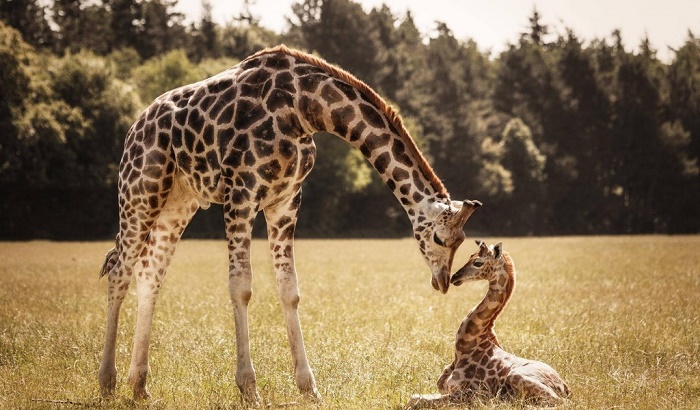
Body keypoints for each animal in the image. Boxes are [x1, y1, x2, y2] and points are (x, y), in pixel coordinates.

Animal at [98, 44, 482, 404]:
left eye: (462, 241)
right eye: (440, 238)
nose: (442, 281)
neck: (304, 107)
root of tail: (135, 127)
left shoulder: (286, 200)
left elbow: (289, 289)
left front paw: (309, 388)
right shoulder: (241, 193)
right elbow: (241, 286)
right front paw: (248, 389)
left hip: (178, 200)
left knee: (150, 273)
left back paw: (140, 386)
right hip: (140, 189)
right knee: (120, 271)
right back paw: (107, 382)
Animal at [410, 240, 568, 406]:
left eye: (478, 262)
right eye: (469, 256)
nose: (454, 277)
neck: (463, 348)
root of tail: (565, 387)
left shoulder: (468, 394)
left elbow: (415, 399)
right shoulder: (444, 389)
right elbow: (414, 397)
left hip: (517, 376)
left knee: (558, 402)